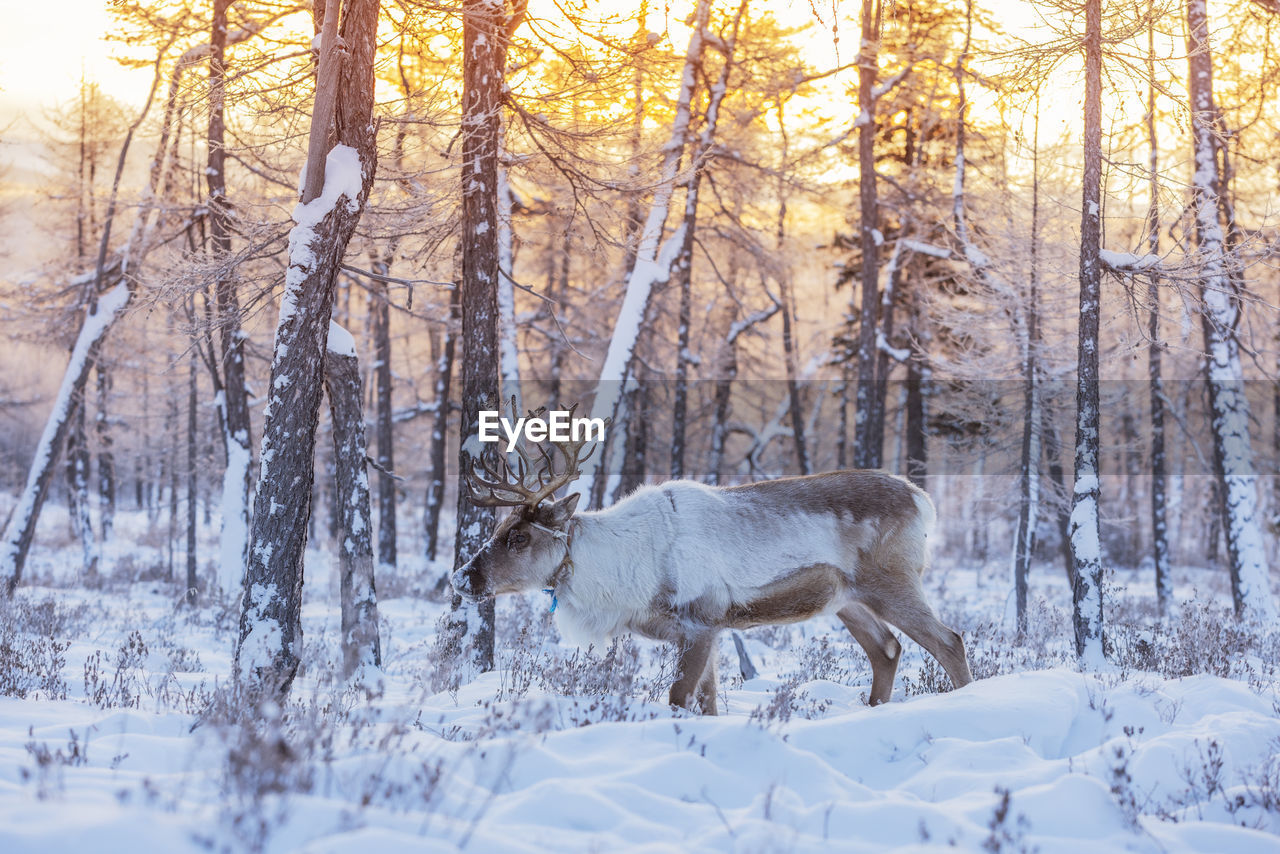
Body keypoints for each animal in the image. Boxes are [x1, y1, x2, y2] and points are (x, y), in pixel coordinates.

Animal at [450, 422, 967, 717]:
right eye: (498, 528)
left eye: (520, 537)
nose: (461, 578)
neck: (622, 570)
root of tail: (925, 500)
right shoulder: (705, 632)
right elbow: (708, 701)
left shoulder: (700, 621)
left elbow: (680, 697)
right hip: (847, 600)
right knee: (887, 649)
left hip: (892, 582)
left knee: (949, 641)